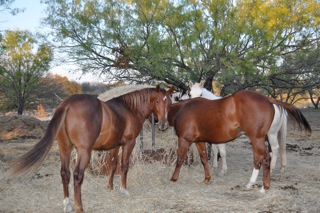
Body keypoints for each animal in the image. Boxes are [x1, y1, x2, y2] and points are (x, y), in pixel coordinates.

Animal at [6, 85, 174, 213]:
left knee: (65, 174)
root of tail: (67, 104)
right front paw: (123, 189)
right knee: (77, 176)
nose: (164, 124)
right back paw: (79, 207)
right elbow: (124, 166)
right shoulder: (129, 143)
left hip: (65, 148)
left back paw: (68, 204)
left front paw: (109, 186)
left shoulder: (114, 146)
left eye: (170, 103)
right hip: (84, 151)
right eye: (157, 101)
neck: (129, 109)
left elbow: (113, 165)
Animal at [170, 90, 312, 191]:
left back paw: (261, 185)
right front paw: (209, 175)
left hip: (260, 138)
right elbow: (206, 158)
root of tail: (267, 99)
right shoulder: (200, 141)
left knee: (265, 157)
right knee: (263, 157)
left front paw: (173, 178)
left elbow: (180, 159)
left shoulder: (184, 139)